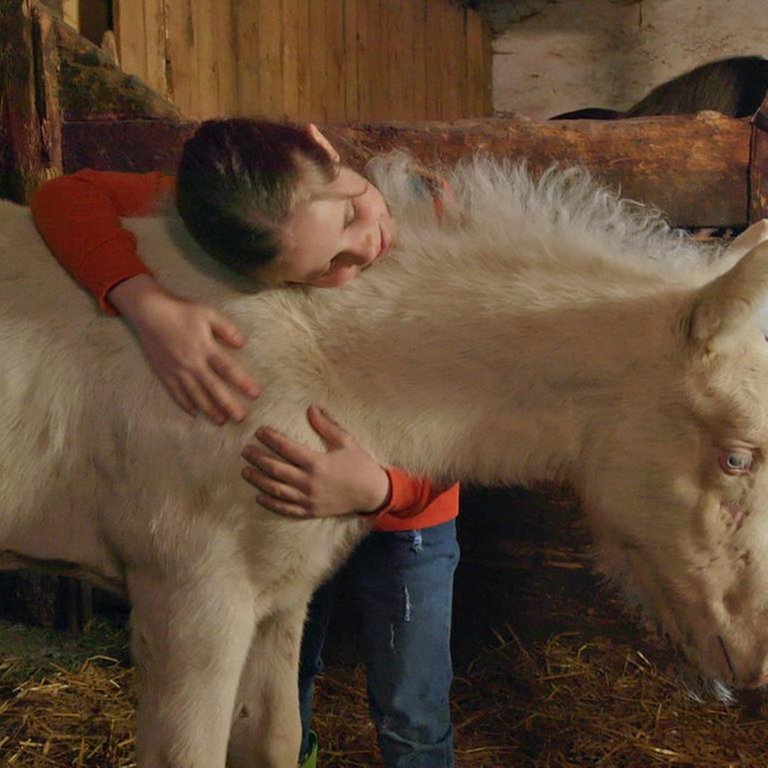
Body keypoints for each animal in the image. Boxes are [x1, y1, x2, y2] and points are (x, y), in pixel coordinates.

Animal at [1, 153, 768, 764]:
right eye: (735, 457)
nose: (758, 660)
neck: (304, 362)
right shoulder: (191, 595)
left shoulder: (277, 596)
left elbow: (273, 739)